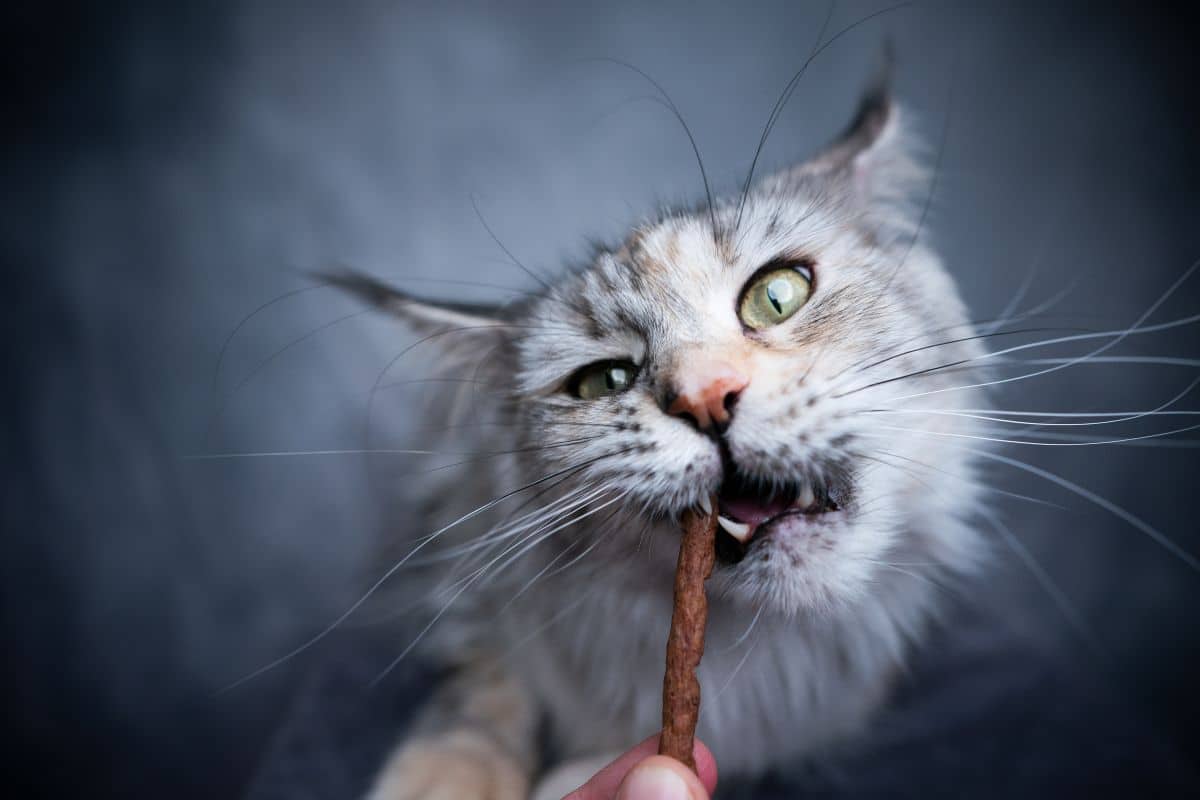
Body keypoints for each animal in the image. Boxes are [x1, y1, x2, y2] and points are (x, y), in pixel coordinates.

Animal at [331, 76, 993, 800]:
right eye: (604, 380)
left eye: (778, 296)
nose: (705, 398)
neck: (765, 657)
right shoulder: (473, 571)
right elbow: (480, 695)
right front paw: (446, 777)